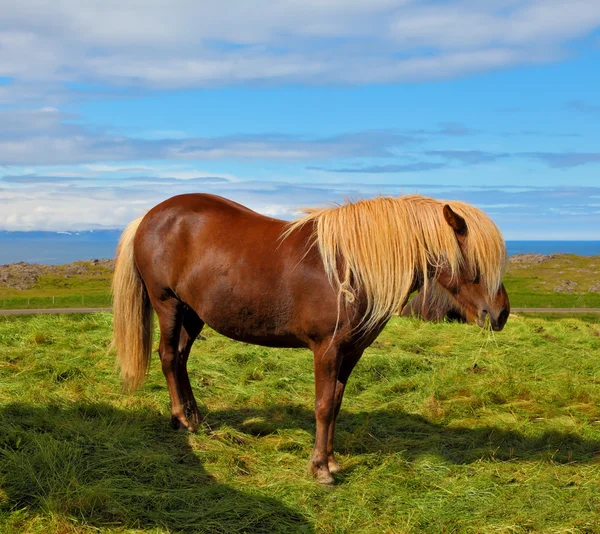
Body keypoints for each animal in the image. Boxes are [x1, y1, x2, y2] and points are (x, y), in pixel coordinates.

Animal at [110, 193, 508, 486]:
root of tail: (148, 216)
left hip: (194, 314)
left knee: (180, 357)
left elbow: (336, 404)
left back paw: (195, 419)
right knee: (167, 356)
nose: (500, 313)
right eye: (474, 259)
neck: (350, 268)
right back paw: (181, 419)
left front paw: (331, 461)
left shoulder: (351, 352)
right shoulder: (327, 350)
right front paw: (320, 470)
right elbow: (323, 406)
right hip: (169, 305)